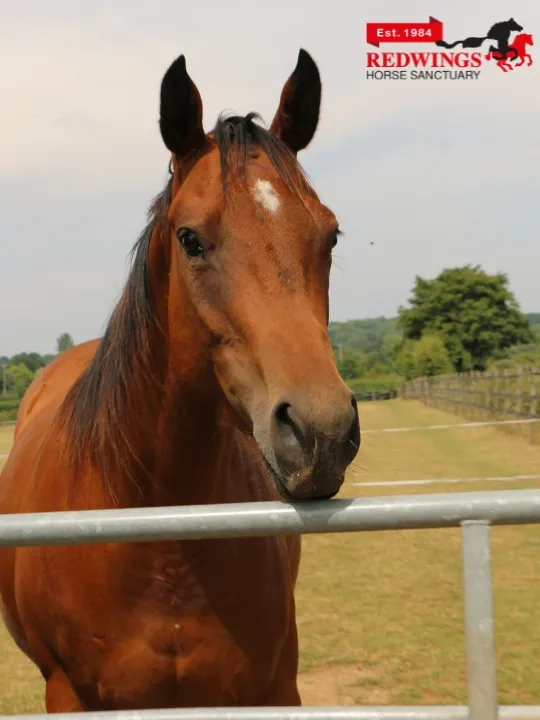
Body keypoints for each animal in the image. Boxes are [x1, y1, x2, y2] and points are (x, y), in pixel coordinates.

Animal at [0, 49, 360, 713]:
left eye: (330, 235)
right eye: (191, 239)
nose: (321, 432)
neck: (163, 545)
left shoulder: (275, 689)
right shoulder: (68, 694)